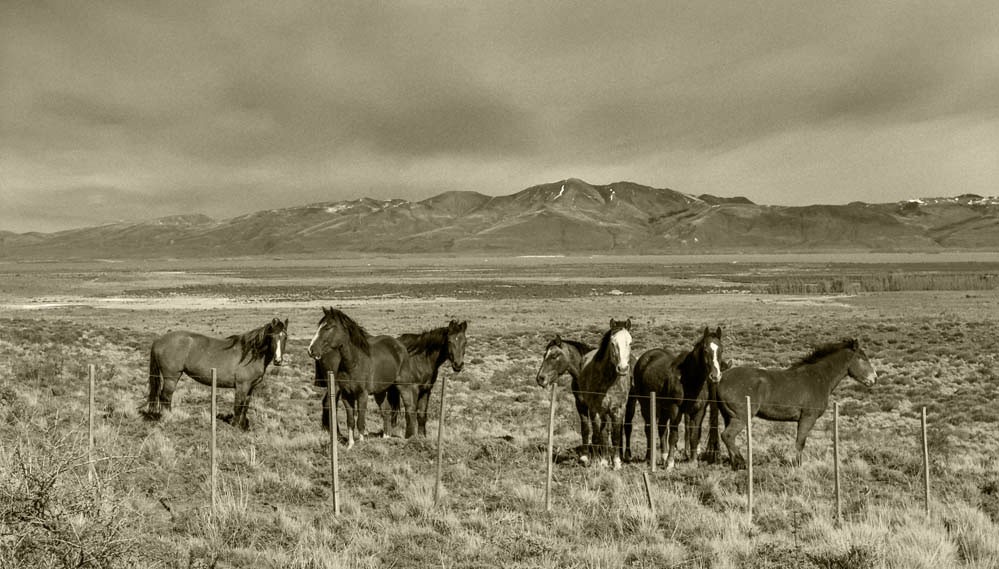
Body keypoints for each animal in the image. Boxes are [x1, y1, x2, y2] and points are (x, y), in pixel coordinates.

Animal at [144, 316, 290, 430]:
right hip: (171, 377)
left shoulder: (251, 387)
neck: (249, 354)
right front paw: (235, 426)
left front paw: (243, 426)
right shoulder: (242, 386)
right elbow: (238, 406)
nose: (278, 360)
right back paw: (169, 418)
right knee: (165, 397)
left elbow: (245, 406)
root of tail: (159, 340)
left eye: (285, 337)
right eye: (271, 337)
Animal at [536, 336, 596, 464]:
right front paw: (585, 456)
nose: (540, 378)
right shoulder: (580, 404)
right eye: (544, 355)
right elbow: (585, 428)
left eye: (554, 356)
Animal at [576, 318, 628, 468]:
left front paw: (616, 463)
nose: (622, 368)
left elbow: (616, 436)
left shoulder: (618, 410)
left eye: (630, 342)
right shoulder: (597, 411)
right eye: (613, 343)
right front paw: (601, 461)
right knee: (595, 432)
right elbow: (599, 435)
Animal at [628, 326, 724, 468]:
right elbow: (674, 436)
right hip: (647, 405)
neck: (689, 379)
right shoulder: (675, 409)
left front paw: (693, 461)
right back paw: (649, 458)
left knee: (662, 429)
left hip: (663, 409)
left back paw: (662, 457)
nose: (715, 376)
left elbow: (694, 435)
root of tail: (644, 358)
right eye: (706, 350)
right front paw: (670, 462)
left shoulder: (699, 411)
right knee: (649, 428)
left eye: (721, 350)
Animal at [720, 336, 876, 468]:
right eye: (862, 358)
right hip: (740, 417)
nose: (874, 379)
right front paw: (797, 465)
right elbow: (800, 443)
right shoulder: (807, 418)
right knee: (727, 436)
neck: (818, 378)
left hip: (728, 417)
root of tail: (722, 378)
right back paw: (742, 463)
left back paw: (735, 464)